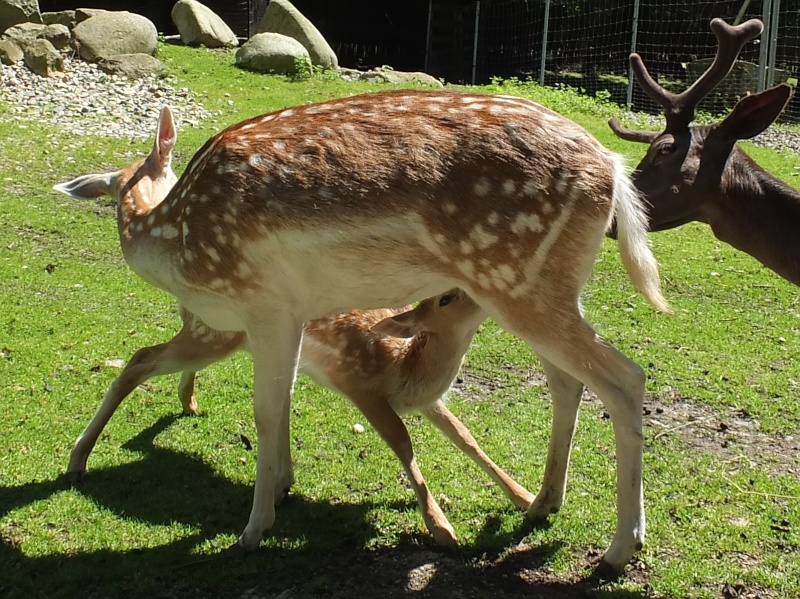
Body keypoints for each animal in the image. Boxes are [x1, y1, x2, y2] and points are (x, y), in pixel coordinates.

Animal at [54, 86, 668, 580]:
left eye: (116, 184)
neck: (178, 240)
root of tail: (615, 167)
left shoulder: (265, 304)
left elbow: (266, 410)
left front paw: (253, 530)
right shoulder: (291, 315)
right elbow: (288, 398)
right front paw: (281, 491)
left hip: (517, 280)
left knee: (624, 379)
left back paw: (618, 550)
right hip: (548, 287)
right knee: (569, 382)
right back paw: (542, 503)